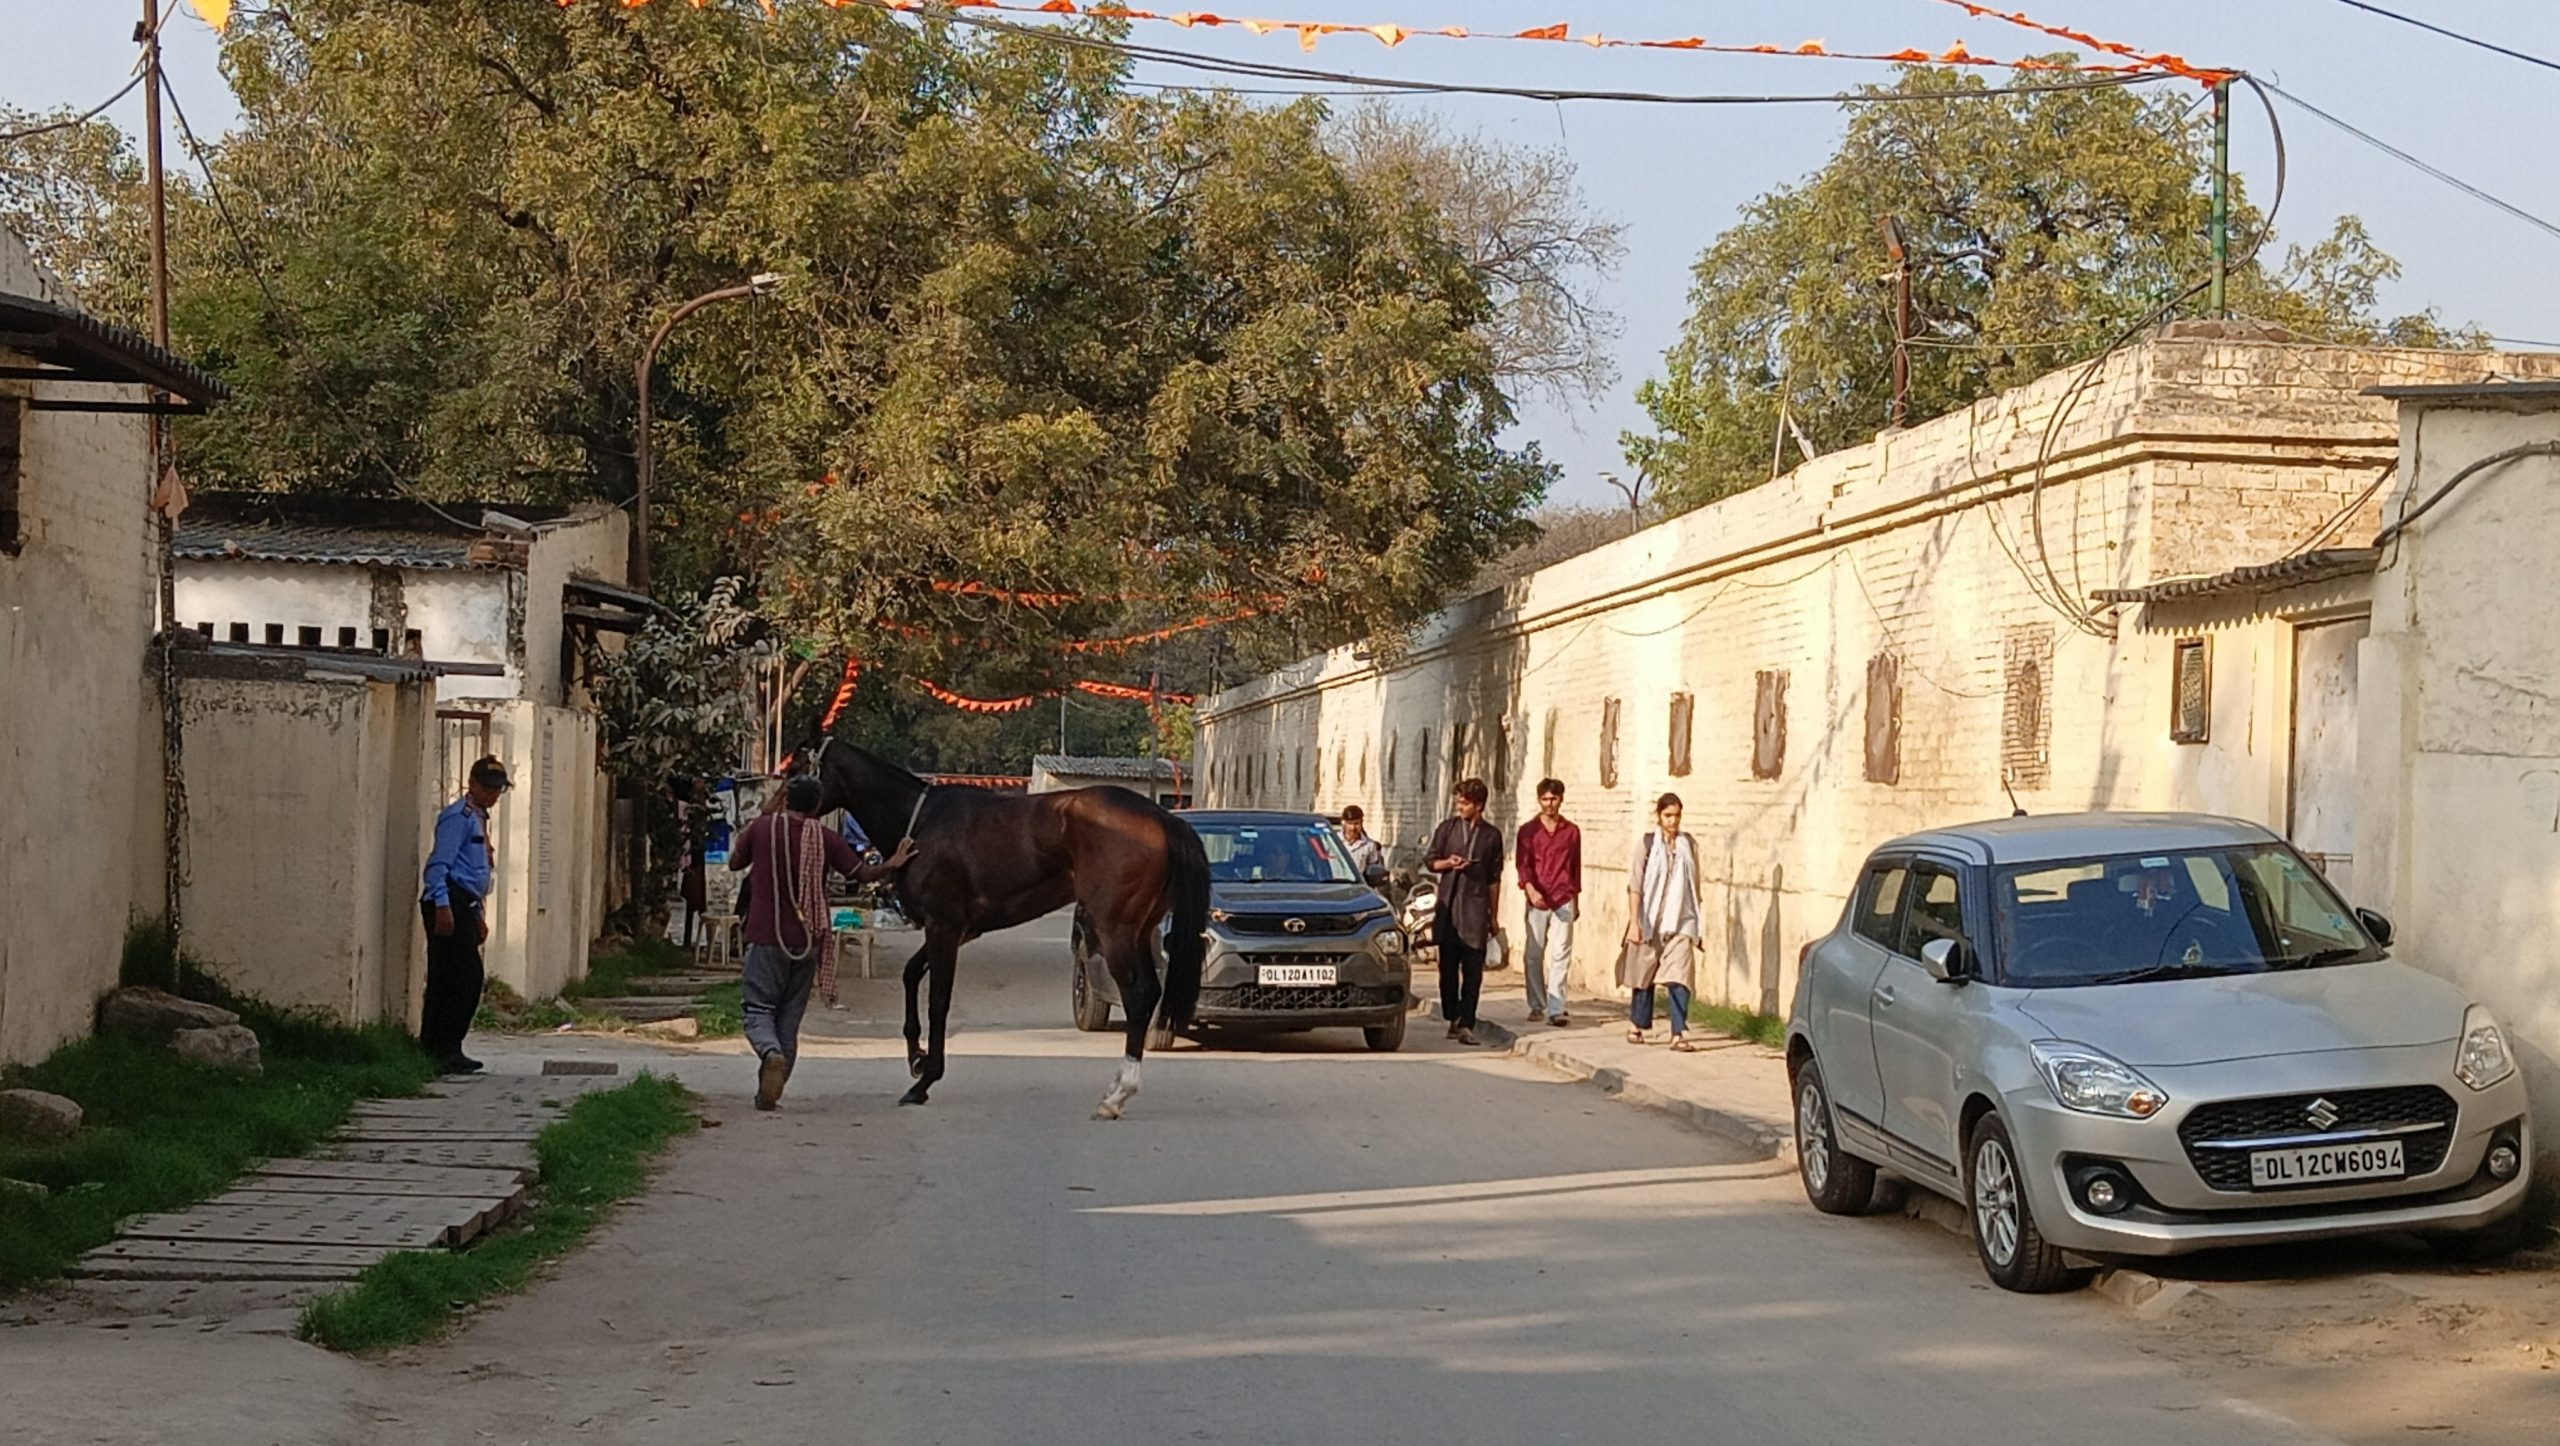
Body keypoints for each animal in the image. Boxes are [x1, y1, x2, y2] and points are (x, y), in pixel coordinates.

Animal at [803, 740, 1210, 1119]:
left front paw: (925, 1079)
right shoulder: (958, 930)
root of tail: (1164, 818)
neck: (921, 823)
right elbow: (910, 974)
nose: (788, 801)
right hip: (1139, 931)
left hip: (1116, 932)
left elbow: (938, 1001)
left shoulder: (943, 928)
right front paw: (917, 1057)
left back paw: (1117, 1095)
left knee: (1138, 995)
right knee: (1150, 991)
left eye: (799, 764)